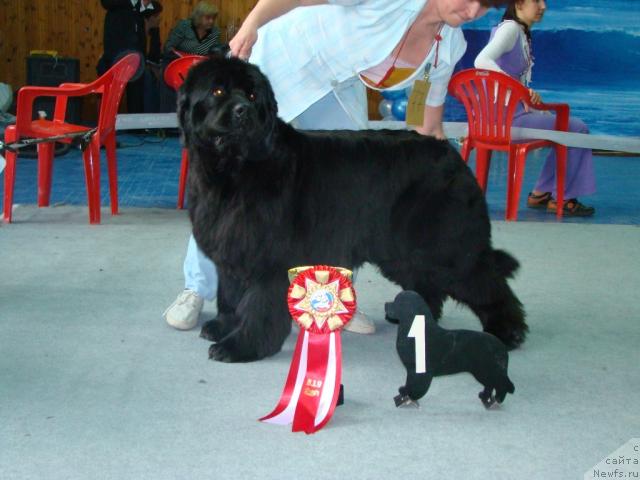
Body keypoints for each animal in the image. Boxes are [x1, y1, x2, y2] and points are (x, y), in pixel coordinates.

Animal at [178, 56, 528, 362]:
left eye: (252, 95)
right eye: (218, 92)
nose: (243, 112)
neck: (235, 171)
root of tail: (452, 153)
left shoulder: (269, 256)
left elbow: (257, 305)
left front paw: (241, 346)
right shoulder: (234, 246)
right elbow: (230, 293)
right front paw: (222, 327)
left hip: (445, 244)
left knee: (483, 279)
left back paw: (507, 332)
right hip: (403, 251)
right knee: (429, 283)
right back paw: (415, 320)